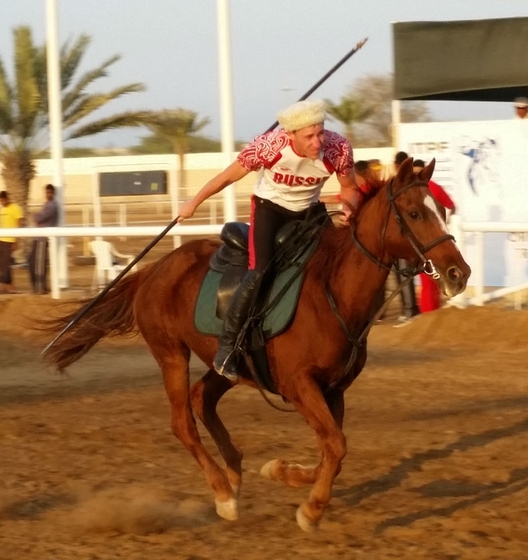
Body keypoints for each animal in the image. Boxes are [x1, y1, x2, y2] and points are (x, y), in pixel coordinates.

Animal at [42, 156, 470, 528]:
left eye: (442, 210)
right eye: (414, 213)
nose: (459, 272)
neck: (333, 289)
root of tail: (152, 270)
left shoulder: (334, 390)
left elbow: (332, 448)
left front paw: (284, 473)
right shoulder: (299, 385)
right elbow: (336, 445)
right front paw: (311, 509)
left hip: (226, 363)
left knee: (202, 398)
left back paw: (234, 472)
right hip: (171, 355)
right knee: (183, 422)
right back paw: (222, 493)